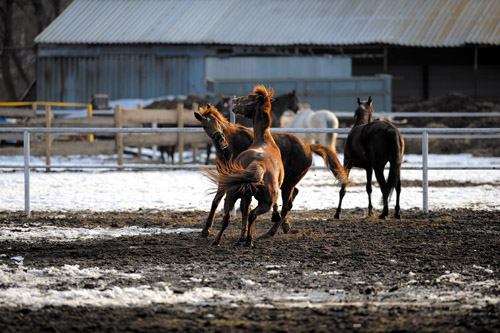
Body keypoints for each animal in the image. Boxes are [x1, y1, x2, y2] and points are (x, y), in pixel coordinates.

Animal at [194, 102, 348, 240]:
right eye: (204, 126)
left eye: (218, 122)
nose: (220, 138)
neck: (232, 147)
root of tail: (308, 146)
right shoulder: (225, 178)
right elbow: (216, 201)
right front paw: (205, 230)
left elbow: (244, 207)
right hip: (287, 181)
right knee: (293, 196)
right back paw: (283, 224)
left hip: (289, 181)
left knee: (288, 203)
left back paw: (274, 228)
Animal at [204, 85, 284, 246]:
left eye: (249, 97)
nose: (235, 101)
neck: (264, 139)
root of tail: (257, 163)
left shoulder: (246, 195)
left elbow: (243, 211)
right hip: (265, 201)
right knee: (252, 214)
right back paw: (249, 239)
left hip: (232, 194)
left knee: (228, 217)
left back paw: (218, 240)